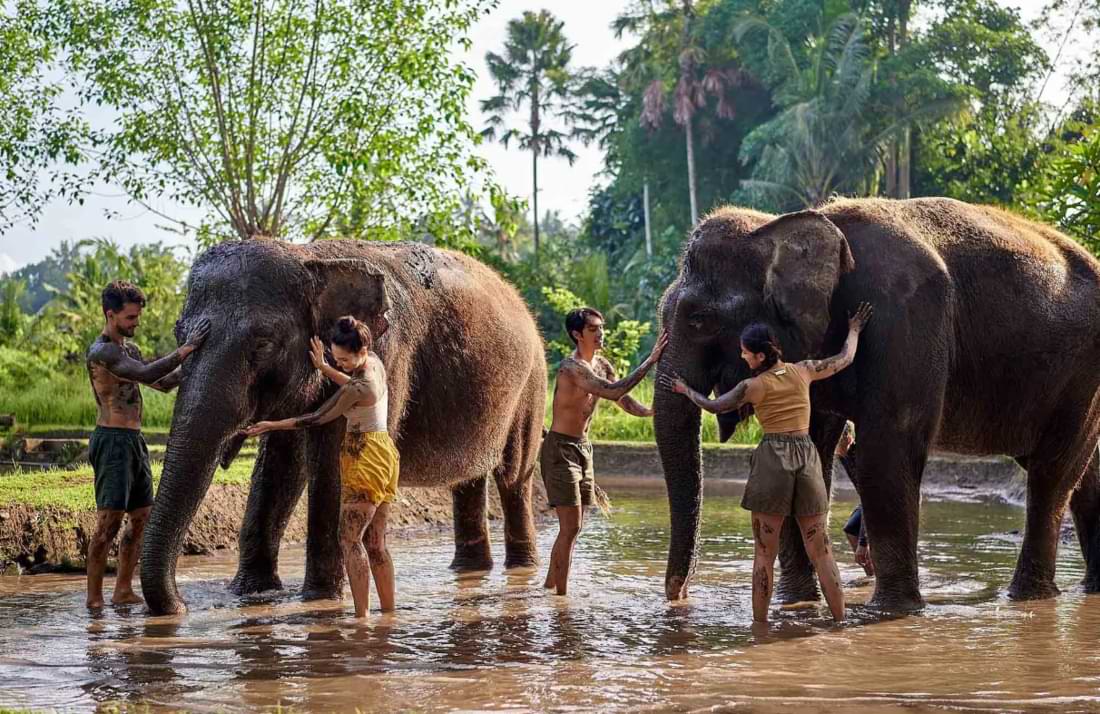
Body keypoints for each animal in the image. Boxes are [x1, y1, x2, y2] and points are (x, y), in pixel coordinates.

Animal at [139, 238, 546, 615]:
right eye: (179, 335)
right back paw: (470, 570)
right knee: (469, 480)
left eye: (262, 344)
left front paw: (318, 598)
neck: (311, 257)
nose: (181, 606)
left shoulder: (388, 355)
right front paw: (252, 593)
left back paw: (521, 569)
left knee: (514, 477)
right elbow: (281, 465)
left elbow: (335, 456)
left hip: (533, 384)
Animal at [654, 197, 1100, 611]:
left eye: (699, 319)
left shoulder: (903, 316)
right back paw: (1087, 590)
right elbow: (815, 448)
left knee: (1051, 471)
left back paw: (1026, 598)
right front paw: (797, 604)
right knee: (1083, 472)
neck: (787, 223)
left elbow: (886, 449)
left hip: (1080, 376)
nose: (680, 596)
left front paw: (892, 611)